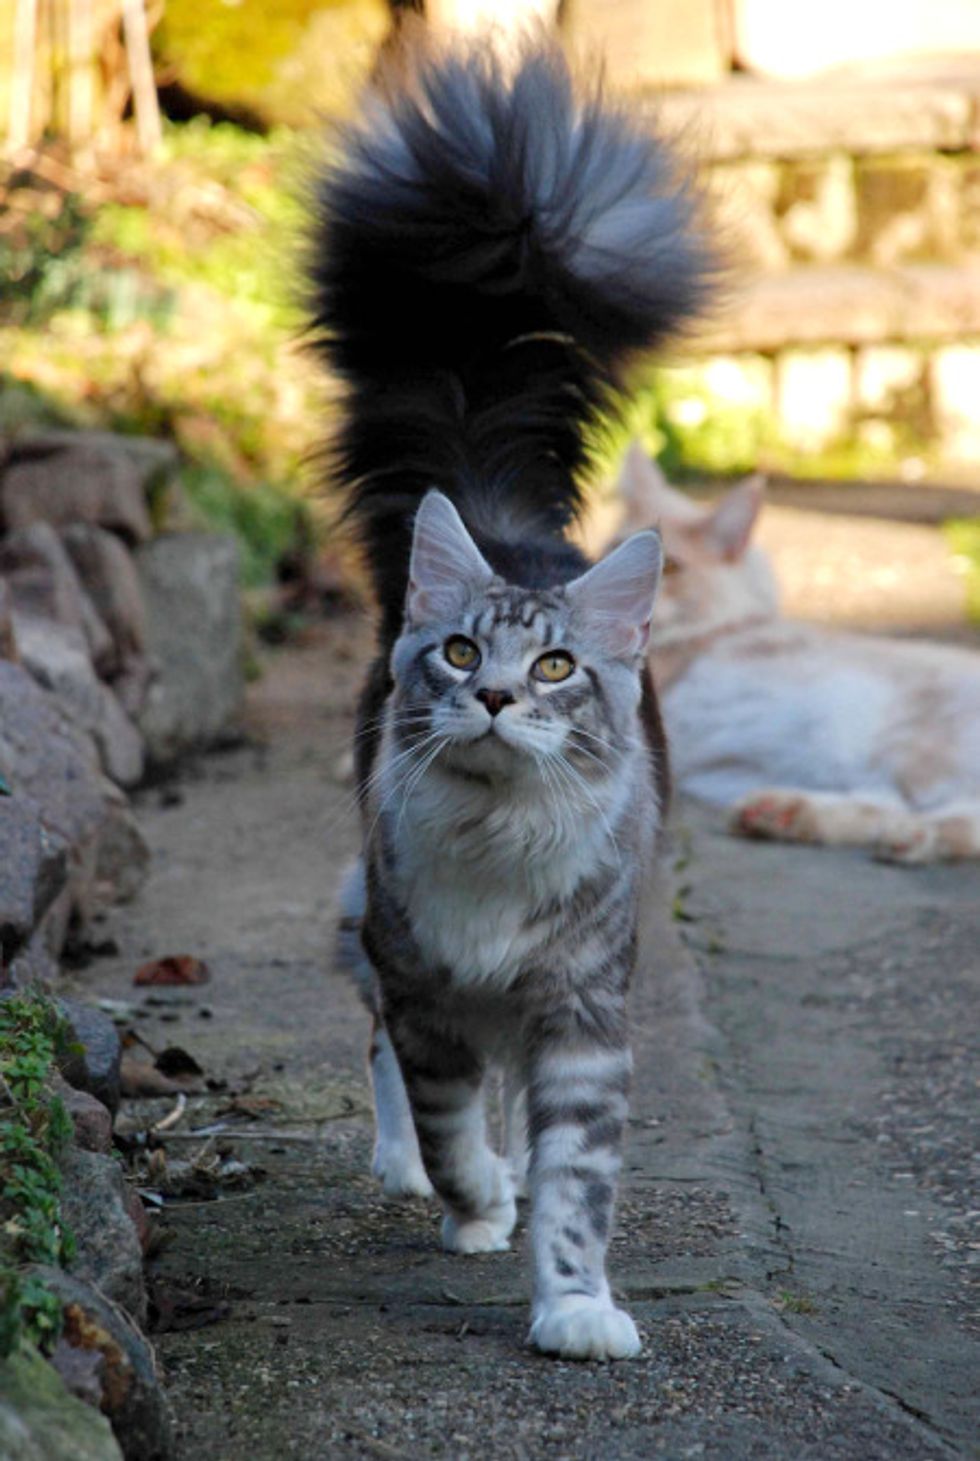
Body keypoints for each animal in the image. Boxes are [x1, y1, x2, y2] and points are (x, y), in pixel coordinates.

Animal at [318, 39, 709, 1355]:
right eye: (453, 654)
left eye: (551, 669)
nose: (489, 696)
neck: (494, 837)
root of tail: (501, 519)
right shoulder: (421, 977)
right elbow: (443, 1117)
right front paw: (476, 1201)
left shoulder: (582, 1014)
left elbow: (580, 1183)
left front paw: (576, 1307)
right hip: (361, 915)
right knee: (386, 1062)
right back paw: (428, 1175)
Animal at [613, 441, 980, 853]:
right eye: (614, 546)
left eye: (672, 567)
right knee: (886, 805)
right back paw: (785, 814)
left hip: (910, 752)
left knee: (934, 812)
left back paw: (914, 834)